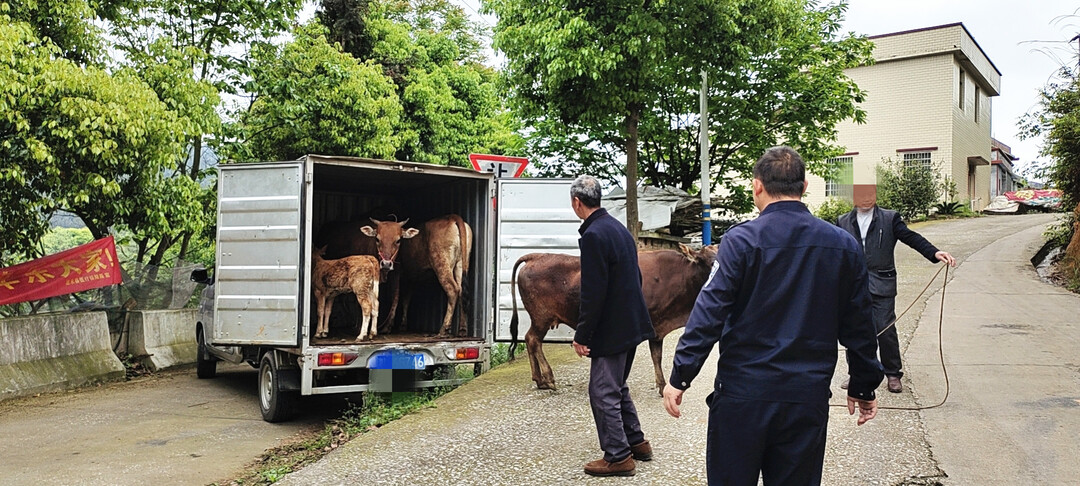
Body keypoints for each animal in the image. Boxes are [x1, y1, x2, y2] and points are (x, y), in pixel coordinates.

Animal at [507, 243, 717, 395]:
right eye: (708, 262)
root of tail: (536, 256)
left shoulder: (658, 327)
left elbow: (656, 356)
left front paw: (662, 385)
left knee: (529, 339)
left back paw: (539, 380)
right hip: (541, 317)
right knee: (534, 340)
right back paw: (548, 379)